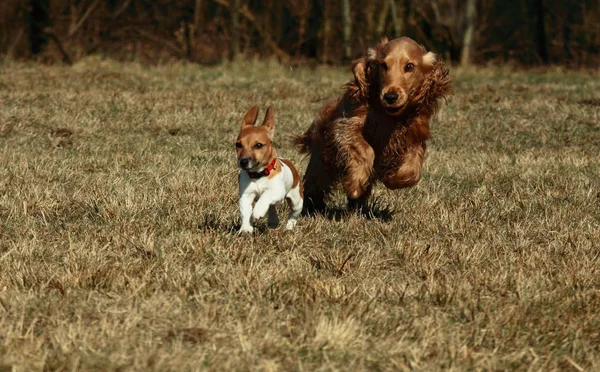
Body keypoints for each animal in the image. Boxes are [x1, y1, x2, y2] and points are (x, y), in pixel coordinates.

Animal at [237, 104, 304, 232]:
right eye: (238, 145)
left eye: (258, 145)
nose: (243, 162)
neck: (258, 174)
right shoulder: (246, 195)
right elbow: (246, 212)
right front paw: (246, 228)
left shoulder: (277, 191)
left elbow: (266, 195)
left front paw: (258, 210)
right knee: (271, 208)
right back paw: (273, 221)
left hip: (297, 199)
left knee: (294, 213)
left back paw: (289, 226)